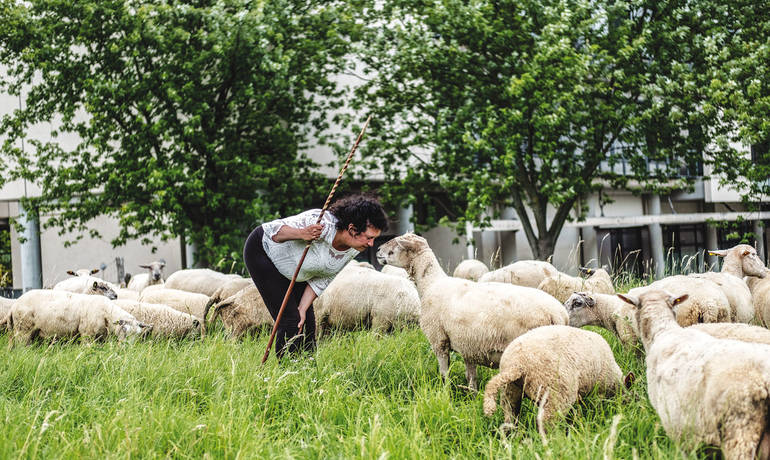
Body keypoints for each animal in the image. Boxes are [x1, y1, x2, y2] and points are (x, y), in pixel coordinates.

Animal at [0, 290, 152, 344]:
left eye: (138, 334)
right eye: (124, 330)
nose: (127, 347)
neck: (107, 314)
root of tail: (14, 305)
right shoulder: (87, 335)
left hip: (22, 332)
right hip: (23, 331)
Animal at [376, 232, 568, 390]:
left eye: (395, 245)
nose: (377, 250)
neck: (431, 283)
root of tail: (557, 314)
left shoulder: (439, 341)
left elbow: (445, 375)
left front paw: (445, 395)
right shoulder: (468, 346)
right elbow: (471, 378)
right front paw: (472, 398)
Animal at [480, 324, 624, 434]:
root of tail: (518, 364)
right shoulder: (600, 389)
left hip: (510, 392)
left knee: (510, 417)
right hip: (555, 396)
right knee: (547, 424)